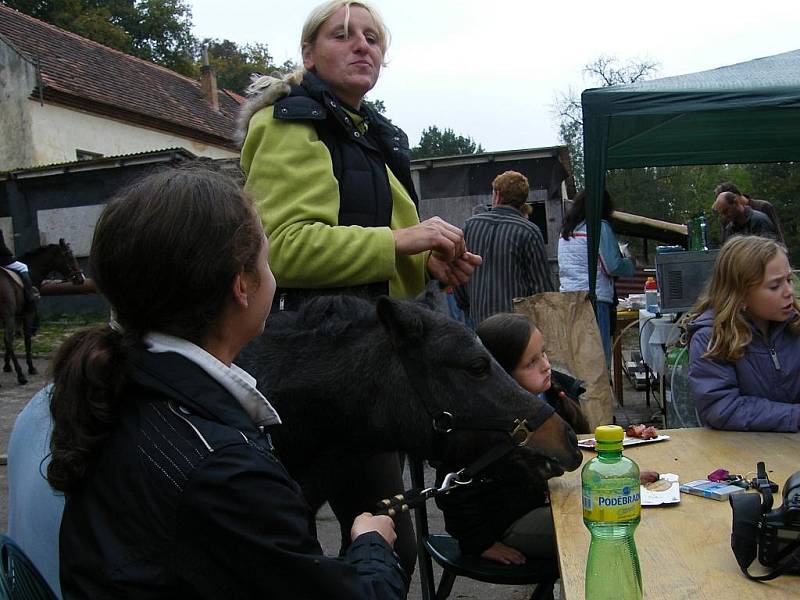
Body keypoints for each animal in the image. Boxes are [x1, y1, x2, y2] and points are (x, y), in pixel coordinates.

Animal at [0, 239, 84, 384]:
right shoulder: (26, 314)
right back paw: (21, 375)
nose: (81, 279)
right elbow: (26, 339)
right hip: (9, 315)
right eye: (69, 256)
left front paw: (6, 366)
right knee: (9, 340)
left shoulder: (15, 316)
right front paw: (31, 367)